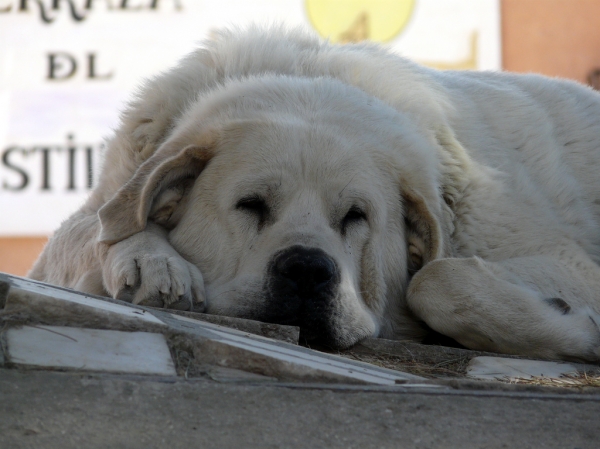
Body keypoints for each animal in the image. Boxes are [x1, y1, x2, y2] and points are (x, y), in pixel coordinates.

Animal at [30, 25, 600, 360]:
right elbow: (93, 230)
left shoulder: (566, 261)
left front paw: (575, 329)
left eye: (356, 216)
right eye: (251, 205)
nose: (306, 269)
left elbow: (436, 278)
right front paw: (153, 260)